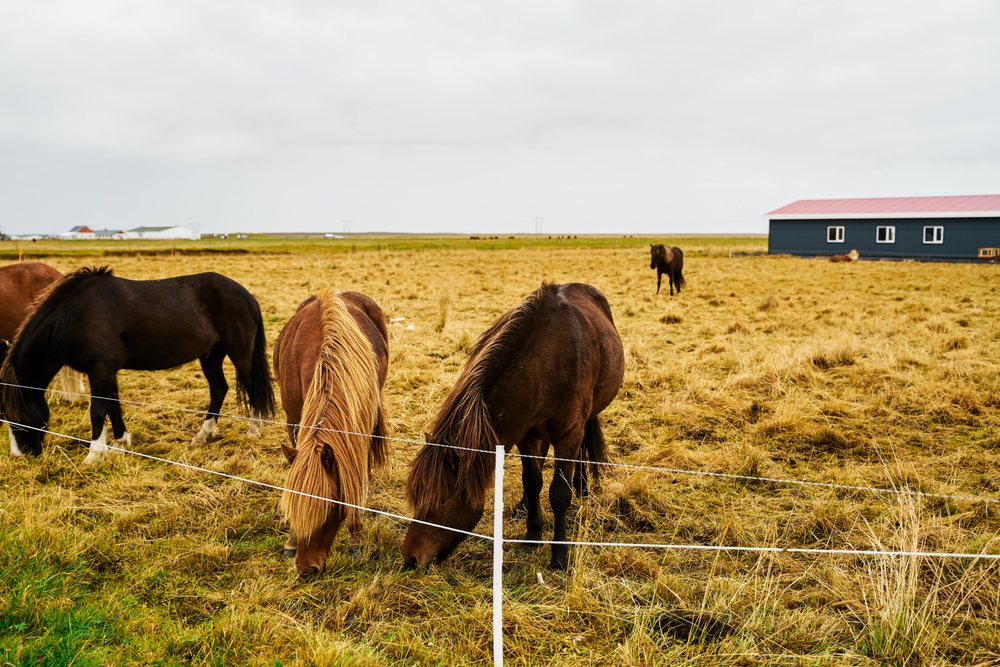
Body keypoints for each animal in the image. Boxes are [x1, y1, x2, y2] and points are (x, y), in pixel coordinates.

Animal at [403, 282, 624, 570]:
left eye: (440, 500)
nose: (411, 559)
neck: (546, 362)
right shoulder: (526, 435)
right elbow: (532, 481)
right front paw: (532, 535)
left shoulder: (568, 435)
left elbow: (559, 494)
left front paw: (559, 556)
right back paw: (524, 504)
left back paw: (583, 486)